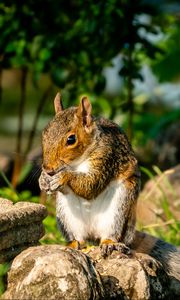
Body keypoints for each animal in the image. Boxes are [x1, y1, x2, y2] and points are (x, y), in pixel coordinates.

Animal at [38, 92, 179, 280]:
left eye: (71, 139)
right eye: (44, 134)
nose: (48, 168)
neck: (78, 162)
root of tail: (93, 234)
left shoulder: (107, 157)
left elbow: (91, 185)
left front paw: (63, 177)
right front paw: (42, 180)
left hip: (118, 210)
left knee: (111, 234)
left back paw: (109, 243)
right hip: (67, 216)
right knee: (79, 238)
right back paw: (73, 244)